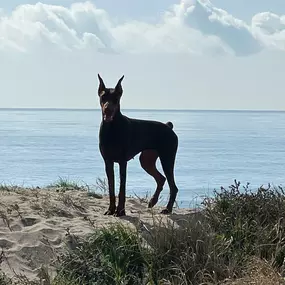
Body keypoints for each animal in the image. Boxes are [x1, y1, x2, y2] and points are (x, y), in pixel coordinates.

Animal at [97, 73, 178, 215]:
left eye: (116, 98)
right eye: (103, 97)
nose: (108, 110)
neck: (111, 128)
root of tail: (169, 127)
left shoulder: (122, 161)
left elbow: (122, 188)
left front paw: (121, 211)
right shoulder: (108, 161)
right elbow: (111, 188)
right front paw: (111, 209)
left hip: (167, 158)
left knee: (173, 186)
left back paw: (167, 209)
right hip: (146, 159)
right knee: (161, 178)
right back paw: (152, 201)